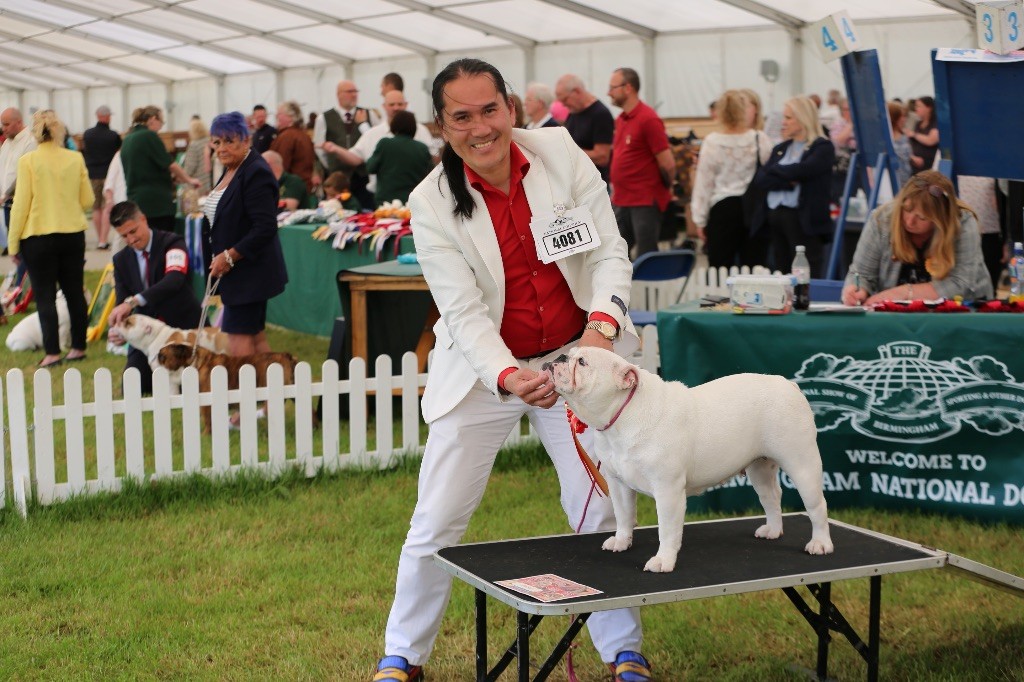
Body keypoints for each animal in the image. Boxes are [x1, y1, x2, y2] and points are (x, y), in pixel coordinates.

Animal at [544, 342, 831, 569]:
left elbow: (667, 530)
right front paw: (622, 541)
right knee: (771, 496)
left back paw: (820, 543)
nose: (559, 357)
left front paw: (663, 560)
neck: (623, 416)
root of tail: (789, 385)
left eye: (582, 362)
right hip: (759, 468)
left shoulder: (668, 490)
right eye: (570, 354)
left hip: (801, 464)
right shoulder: (618, 484)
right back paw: (772, 530)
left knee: (817, 505)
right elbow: (624, 515)